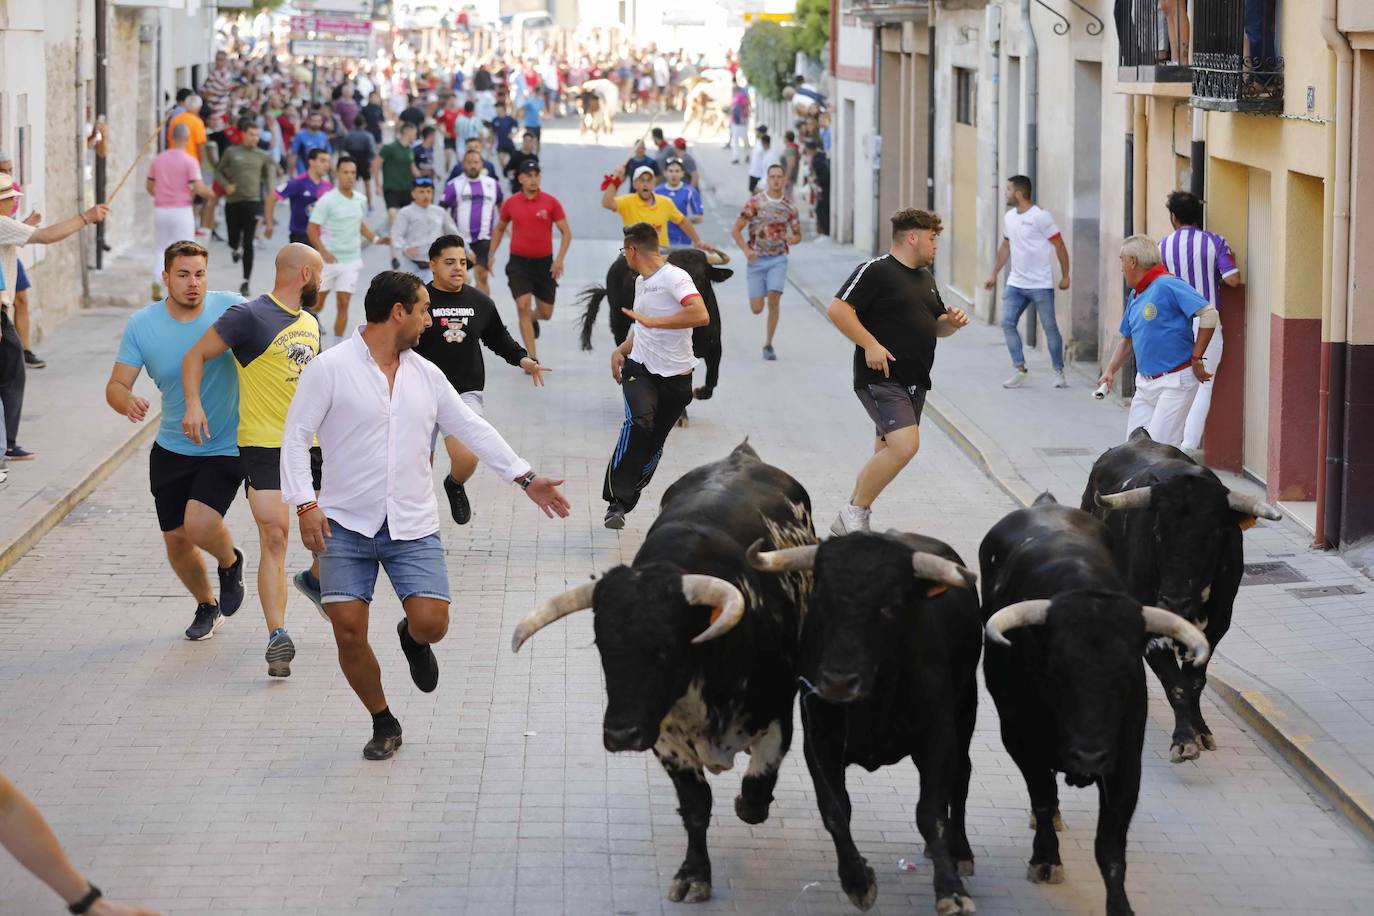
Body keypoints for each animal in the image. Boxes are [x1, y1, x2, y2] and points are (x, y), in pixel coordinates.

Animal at [577, 248, 736, 395]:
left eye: (702, 276)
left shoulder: (715, 348)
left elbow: (711, 381)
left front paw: (698, 392)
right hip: (618, 318)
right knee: (620, 341)